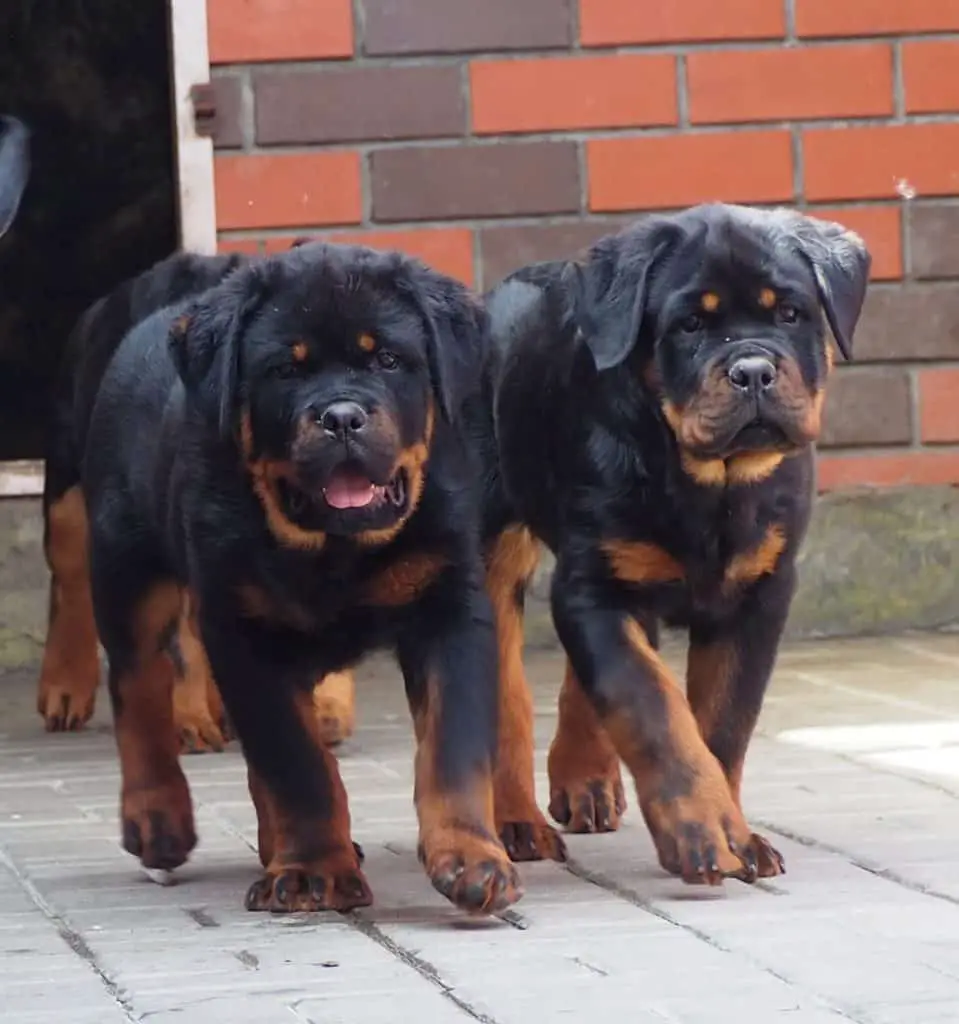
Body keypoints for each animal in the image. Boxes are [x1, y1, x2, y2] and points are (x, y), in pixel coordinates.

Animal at [81, 239, 528, 913]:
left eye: (388, 359)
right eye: (284, 371)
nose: (341, 416)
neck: (334, 550)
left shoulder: (450, 606)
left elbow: (454, 748)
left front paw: (472, 859)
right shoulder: (242, 633)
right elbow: (298, 765)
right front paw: (314, 869)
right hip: (126, 566)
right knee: (138, 681)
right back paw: (158, 820)